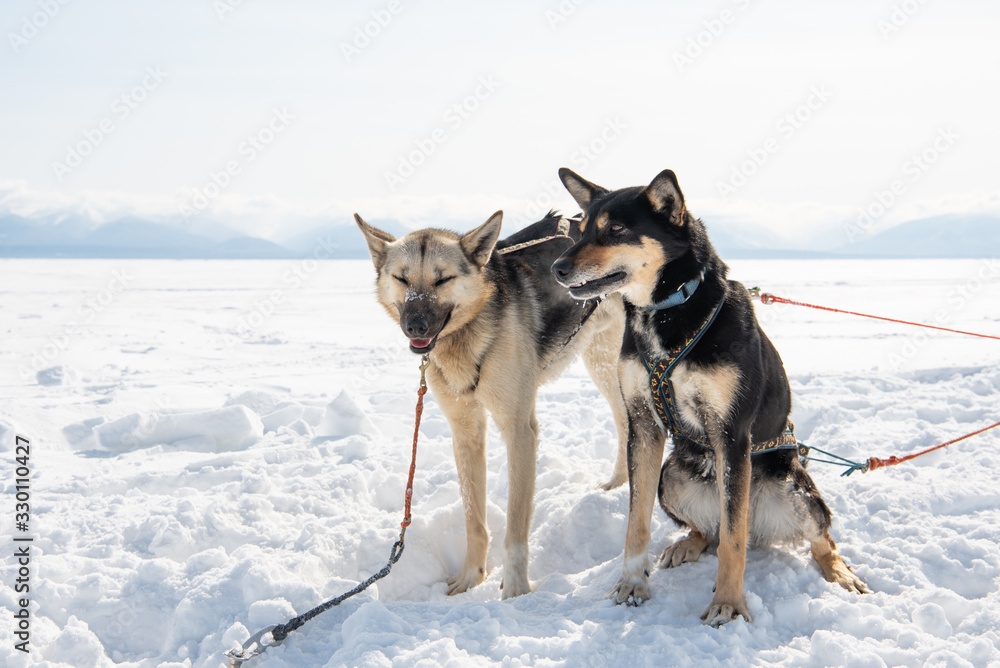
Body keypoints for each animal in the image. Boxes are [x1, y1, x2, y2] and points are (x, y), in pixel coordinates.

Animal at [355, 210, 628, 598]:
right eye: (402, 278)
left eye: (443, 279)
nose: (415, 326)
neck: (467, 339)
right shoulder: (466, 431)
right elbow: (475, 521)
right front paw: (471, 578)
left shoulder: (520, 431)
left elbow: (516, 524)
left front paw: (515, 590)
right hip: (603, 364)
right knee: (624, 422)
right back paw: (617, 485)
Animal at [550, 168, 869, 626]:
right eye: (580, 230)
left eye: (616, 230)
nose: (556, 268)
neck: (667, 313)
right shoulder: (642, 428)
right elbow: (635, 522)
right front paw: (631, 584)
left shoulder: (731, 435)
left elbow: (734, 543)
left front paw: (729, 603)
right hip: (671, 477)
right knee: (710, 530)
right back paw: (687, 544)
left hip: (792, 489)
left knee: (809, 536)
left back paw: (839, 572)